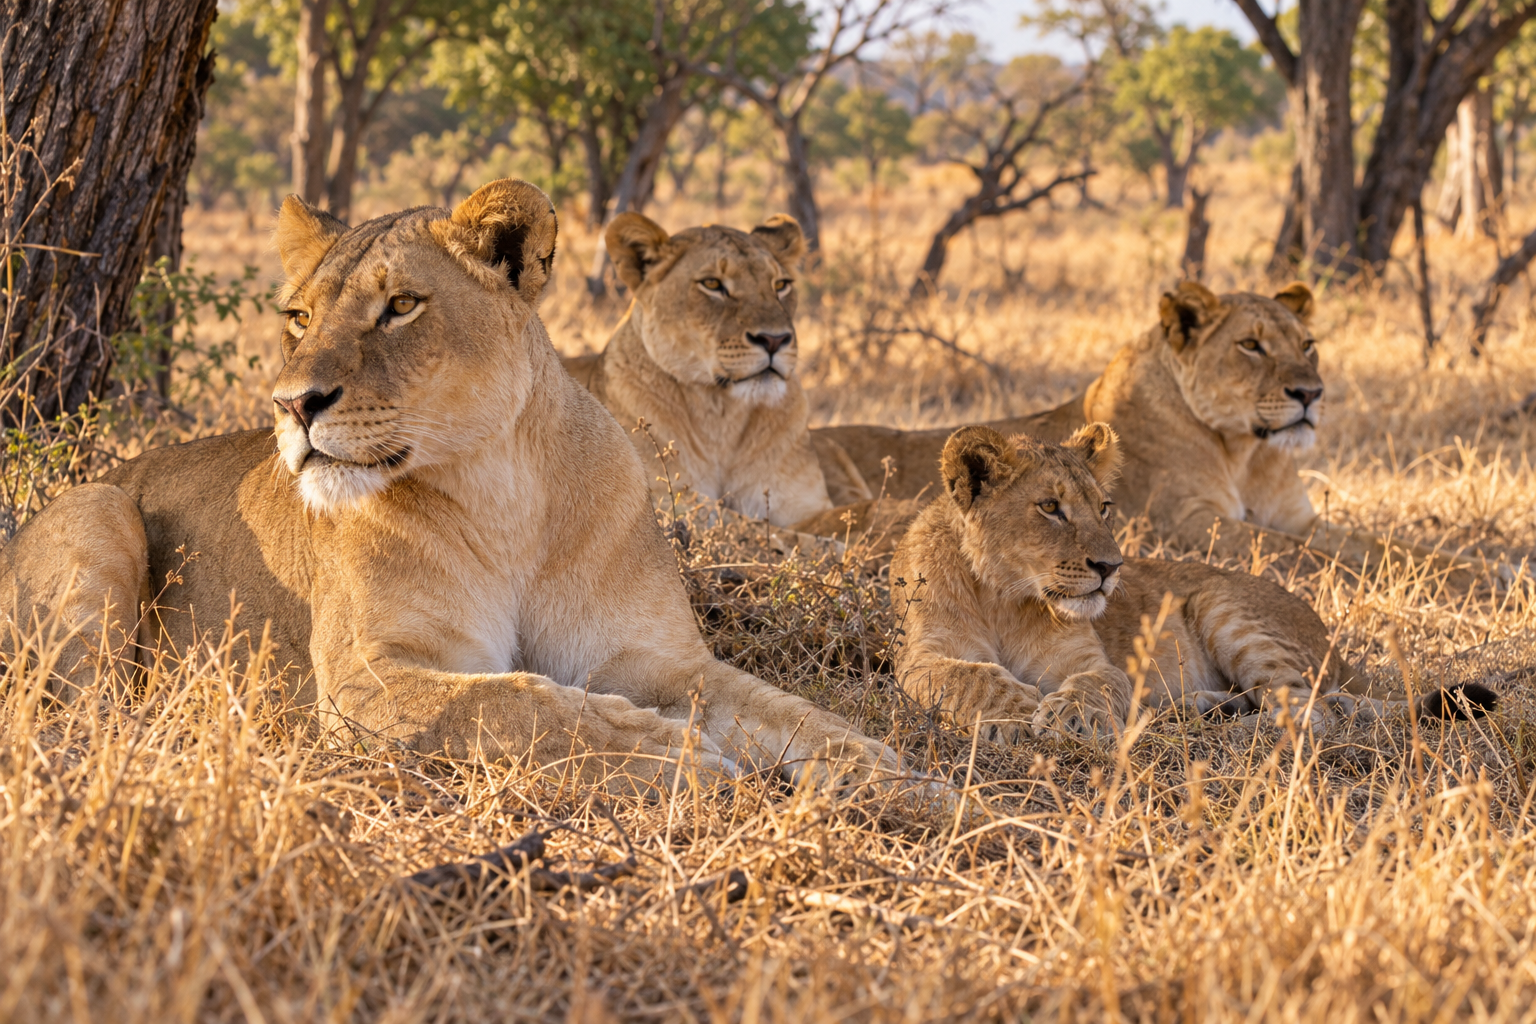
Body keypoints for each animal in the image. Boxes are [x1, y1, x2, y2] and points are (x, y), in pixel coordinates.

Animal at [562, 211, 878, 534]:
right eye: (712, 284)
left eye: (781, 285)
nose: (774, 340)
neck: (722, 415)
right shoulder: (664, 500)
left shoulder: (800, 504)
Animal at [819, 283, 1475, 571]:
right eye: (1251, 346)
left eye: (1308, 345)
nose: (1311, 394)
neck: (1244, 452)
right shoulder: (1189, 524)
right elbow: (1307, 554)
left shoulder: (1299, 517)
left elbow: (1381, 544)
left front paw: (1481, 568)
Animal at [889, 425, 1496, 742]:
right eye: (1049, 508)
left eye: (1103, 507)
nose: (1111, 568)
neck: (1005, 596)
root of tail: (1340, 652)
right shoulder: (921, 657)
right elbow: (969, 676)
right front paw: (1016, 712)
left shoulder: (1089, 661)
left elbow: (1096, 684)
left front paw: (1070, 717)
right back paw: (1199, 711)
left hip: (1220, 603)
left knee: (1312, 712)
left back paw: (1224, 729)